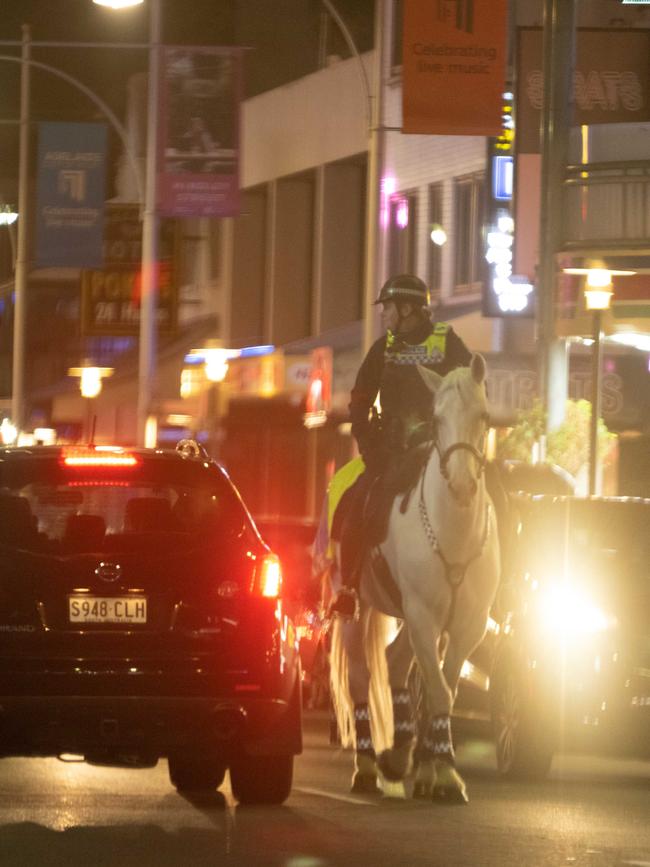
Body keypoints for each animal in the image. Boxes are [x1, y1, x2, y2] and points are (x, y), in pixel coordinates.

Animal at [326, 356, 498, 804]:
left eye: (485, 417)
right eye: (436, 420)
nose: (461, 484)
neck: (452, 531)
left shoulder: (466, 625)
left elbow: (444, 689)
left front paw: (436, 769)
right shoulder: (423, 617)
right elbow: (437, 689)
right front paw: (444, 773)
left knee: (396, 662)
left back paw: (403, 756)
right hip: (355, 608)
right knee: (361, 679)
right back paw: (368, 766)